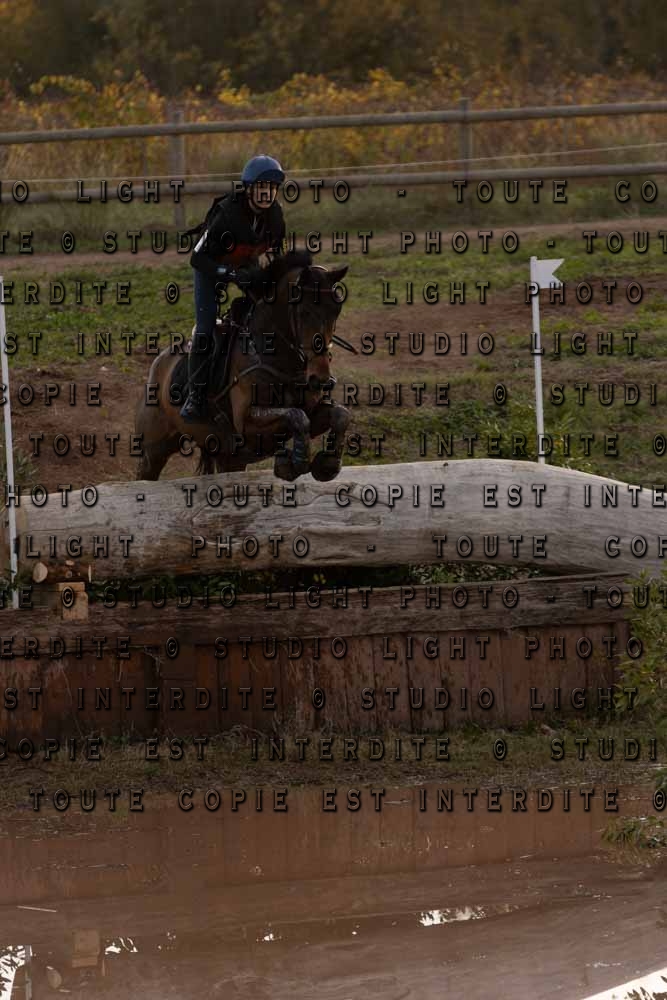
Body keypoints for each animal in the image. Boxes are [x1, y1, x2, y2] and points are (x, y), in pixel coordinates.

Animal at [134, 253, 353, 483]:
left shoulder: (311, 410)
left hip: (228, 458)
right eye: (304, 312)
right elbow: (296, 416)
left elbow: (340, 414)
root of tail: (158, 364)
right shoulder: (247, 426)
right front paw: (294, 463)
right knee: (145, 473)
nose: (320, 379)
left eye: (336, 310)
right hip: (153, 450)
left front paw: (327, 464)